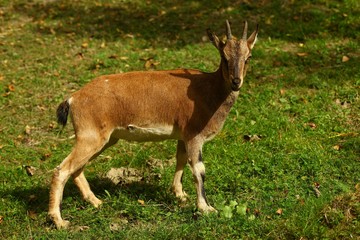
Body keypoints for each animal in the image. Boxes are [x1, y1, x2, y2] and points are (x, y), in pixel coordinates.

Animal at [49, 20, 258, 229]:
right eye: (224, 56)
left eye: (248, 57)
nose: (236, 82)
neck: (208, 91)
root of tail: (73, 99)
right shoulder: (194, 137)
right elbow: (199, 171)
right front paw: (206, 208)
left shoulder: (183, 136)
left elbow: (181, 160)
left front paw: (180, 194)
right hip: (90, 137)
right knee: (62, 170)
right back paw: (59, 221)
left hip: (105, 139)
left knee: (77, 169)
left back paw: (96, 202)